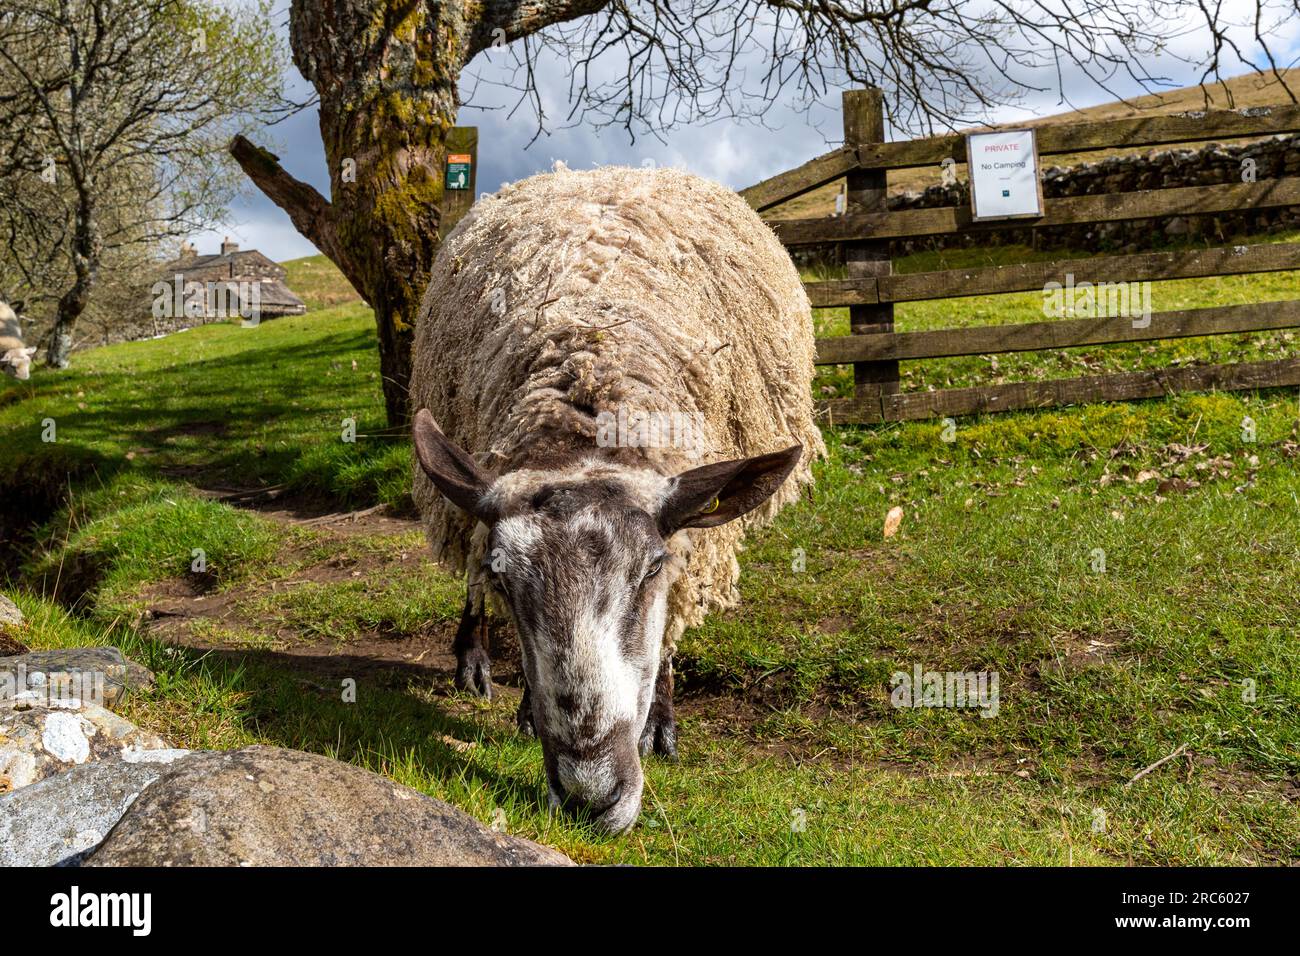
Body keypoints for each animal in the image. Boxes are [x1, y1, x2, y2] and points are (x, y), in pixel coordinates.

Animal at [410, 162, 826, 832]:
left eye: (652, 568)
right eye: (507, 580)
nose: (589, 797)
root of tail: (592, 172)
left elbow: (672, 621)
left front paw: (660, 723)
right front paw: (526, 710)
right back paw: (472, 661)